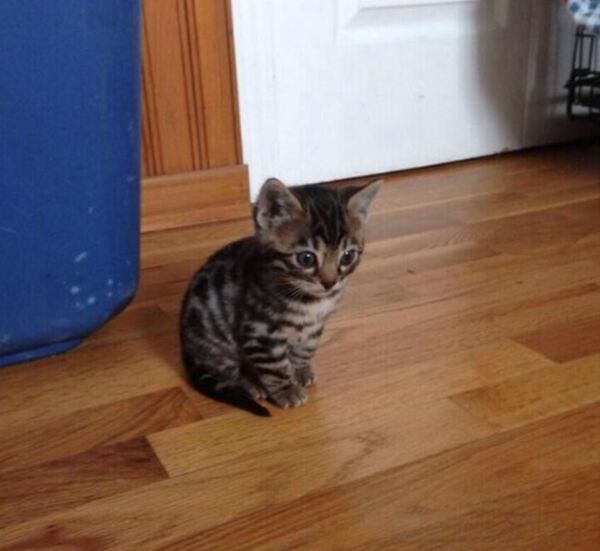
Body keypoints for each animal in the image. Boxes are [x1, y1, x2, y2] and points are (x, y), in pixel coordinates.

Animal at [179, 177, 381, 416]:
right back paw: (252, 383)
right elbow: (275, 367)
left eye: (348, 256)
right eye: (306, 258)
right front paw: (286, 390)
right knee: (229, 372)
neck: (311, 302)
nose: (330, 283)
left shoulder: (314, 327)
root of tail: (186, 348)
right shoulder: (259, 333)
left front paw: (301, 370)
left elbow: (306, 348)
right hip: (218, 342)